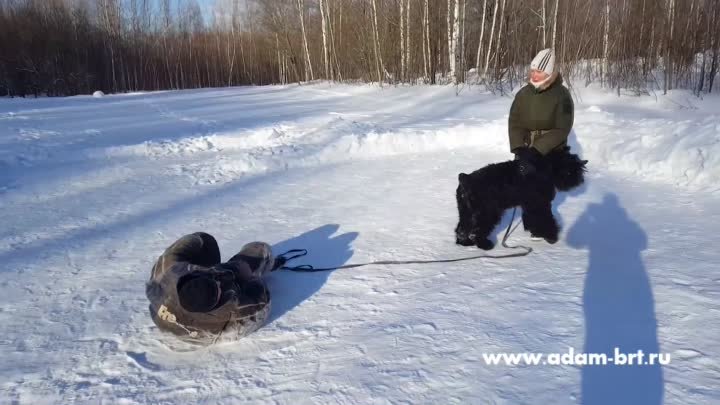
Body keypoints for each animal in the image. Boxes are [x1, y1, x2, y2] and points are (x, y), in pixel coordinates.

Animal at [456, 148, 584, 249]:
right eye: (571, 166)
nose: (580, 178)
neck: (546, 168)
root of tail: (465, 179)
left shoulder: (530, 205)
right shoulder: (539, 205)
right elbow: (545, 220)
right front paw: (551, 237)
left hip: (467, 212)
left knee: (461, 229)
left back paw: (464, 243)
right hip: (486, 213)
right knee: (477, 230)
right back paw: (485, 245)